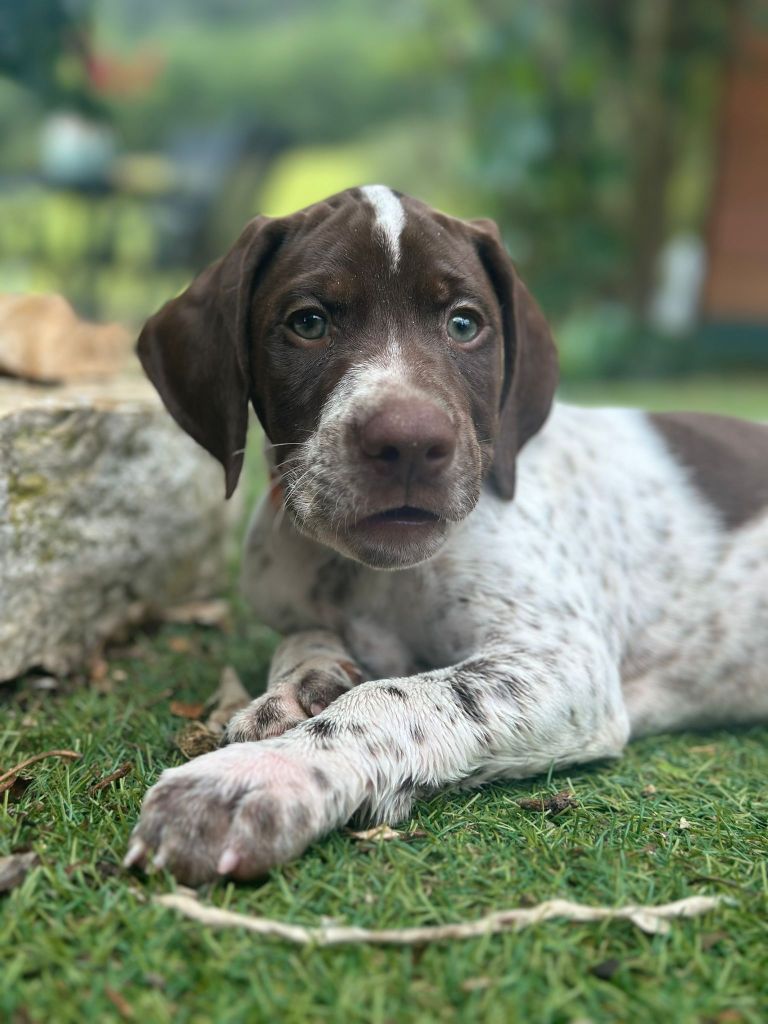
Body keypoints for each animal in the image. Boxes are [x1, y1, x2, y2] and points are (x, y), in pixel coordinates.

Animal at [126, 188, 768, 884]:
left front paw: (260, 775)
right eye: (308, 322)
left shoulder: (563, 661)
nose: (408, 443)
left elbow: (399, 700)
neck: (374, 576)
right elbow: (307, 641)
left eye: (464, 325)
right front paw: (301, 687)